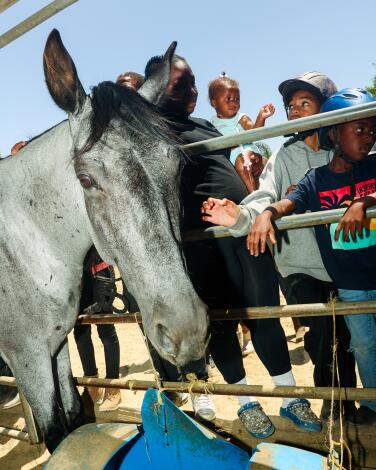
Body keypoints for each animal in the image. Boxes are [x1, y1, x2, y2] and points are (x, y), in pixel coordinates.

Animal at [0, 30, 207, 452]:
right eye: (85, 179)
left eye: (177, 165)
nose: (187, 331)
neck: (25, 248)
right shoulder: (27, 358)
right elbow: (54, 432)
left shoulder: (56, 346)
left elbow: (73, 417)